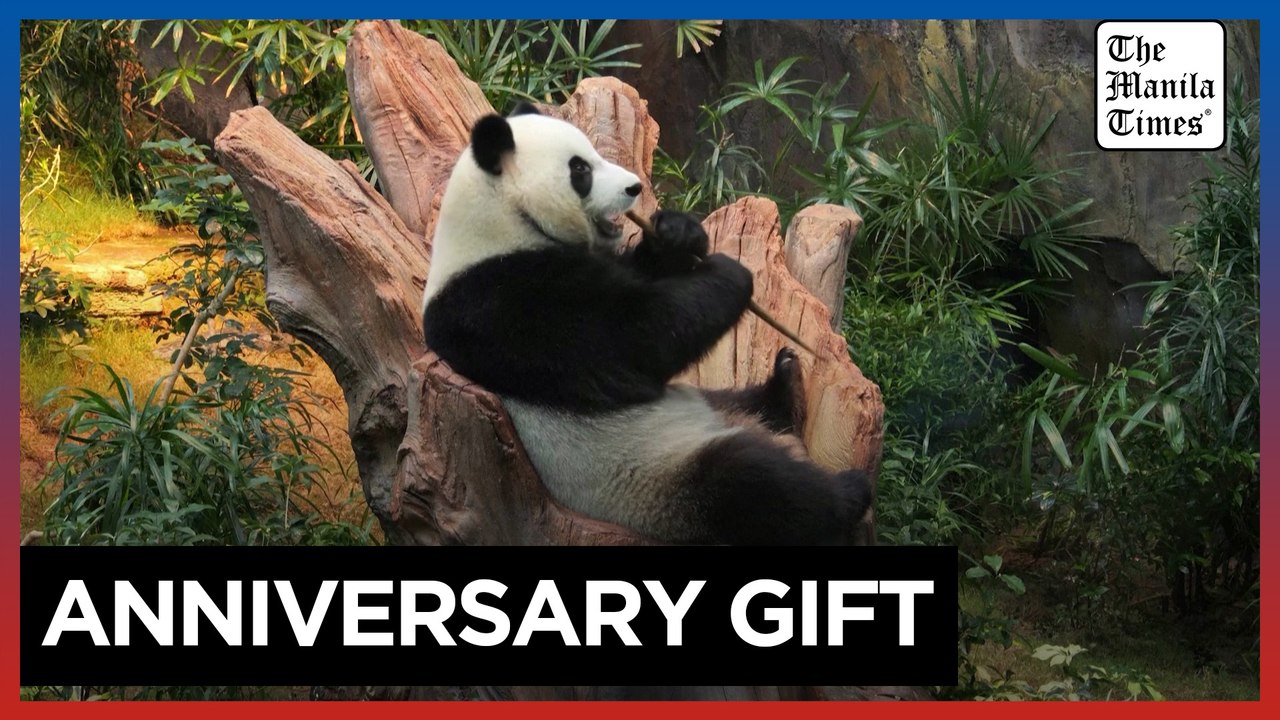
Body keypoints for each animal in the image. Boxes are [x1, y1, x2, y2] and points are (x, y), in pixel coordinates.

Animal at [421, 103, 872, 545]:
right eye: (580, 169)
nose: (634, 188)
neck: (500, 219)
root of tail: (738, 426)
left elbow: (640, 281)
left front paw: (677, 233)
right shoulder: (501, 305)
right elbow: (632, 341)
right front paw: (730, 275)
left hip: (705, 404)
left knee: (746, 406)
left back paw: (785, 381)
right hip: (657, 477)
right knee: (753, 486)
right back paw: (847, 492)